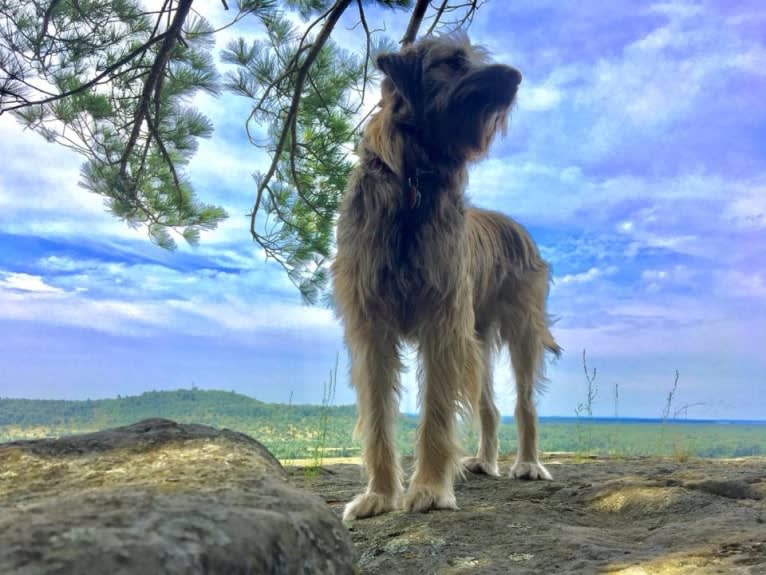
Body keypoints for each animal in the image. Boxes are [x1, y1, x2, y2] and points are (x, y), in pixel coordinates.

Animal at [332, 35, 560, 520]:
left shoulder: (442, 321)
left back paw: (528, 464)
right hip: (476, 337)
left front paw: (430, 489)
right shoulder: (372, 328)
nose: (515, 77)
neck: (412, 182)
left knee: (525, 403)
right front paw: (380, 494)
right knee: (489, 406)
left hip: (520, 329)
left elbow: (436, 411)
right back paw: (486, 461)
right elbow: (378, 415)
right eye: (452, 62)